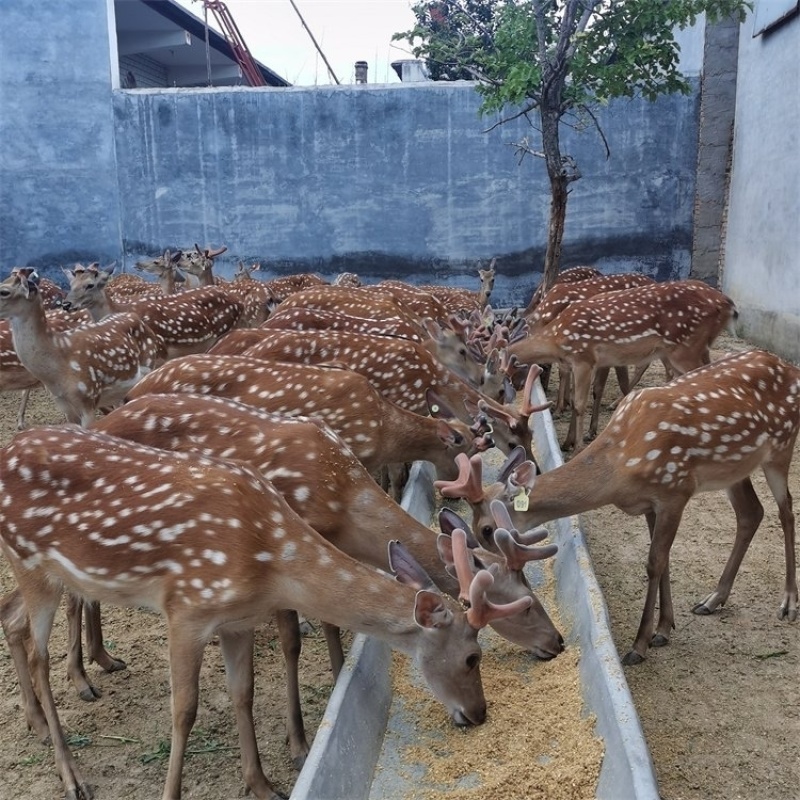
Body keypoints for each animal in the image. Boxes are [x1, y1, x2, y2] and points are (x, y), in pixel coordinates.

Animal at [1, 424, 532, 800]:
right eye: (472, 656)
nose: (479, 713)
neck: (269, 561)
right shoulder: (187, 607)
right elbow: (184, 710)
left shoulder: (236, 621)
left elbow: (244, 693)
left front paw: (261, 783)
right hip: (31, 561)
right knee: (39, 654)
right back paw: (71, 773)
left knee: (13, 620)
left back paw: (36, 724)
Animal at [438, 348, 800, 664]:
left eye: (486, 529)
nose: (488, 571)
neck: (619, 470)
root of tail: (790, 368)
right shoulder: (651, 503)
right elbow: (664, 562)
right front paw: (664, 629)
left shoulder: (675, 490)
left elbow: (654, 564)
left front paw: (639, 645)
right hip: (734, 468)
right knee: (751, 513)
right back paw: (713, 599)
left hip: (781, 447)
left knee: (785, 510)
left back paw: (788, 603)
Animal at [510, 278, 740, 450]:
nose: (512, 391)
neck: (554, 336)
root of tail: (728, 304)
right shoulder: (586, 362)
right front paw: (571, 440)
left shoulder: (585, 358)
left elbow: (580, 402)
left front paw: (577, 445)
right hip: (694, 348)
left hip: (684, 348)